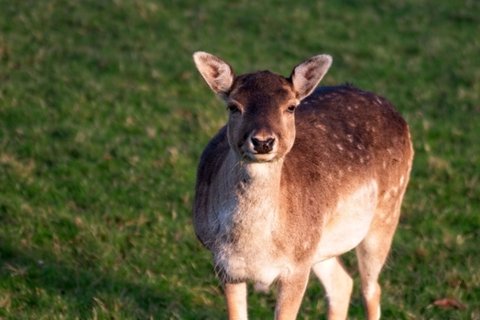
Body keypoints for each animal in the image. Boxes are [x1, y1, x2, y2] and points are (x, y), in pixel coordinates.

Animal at [193, 51, 414, 318]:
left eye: (291, 106)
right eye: (233, 106)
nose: (263, 141)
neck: (253, 248)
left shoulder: (296, 267)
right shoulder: (226, 266)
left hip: (386, 211)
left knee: (371, 289)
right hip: (319, 246)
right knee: (343, 284)